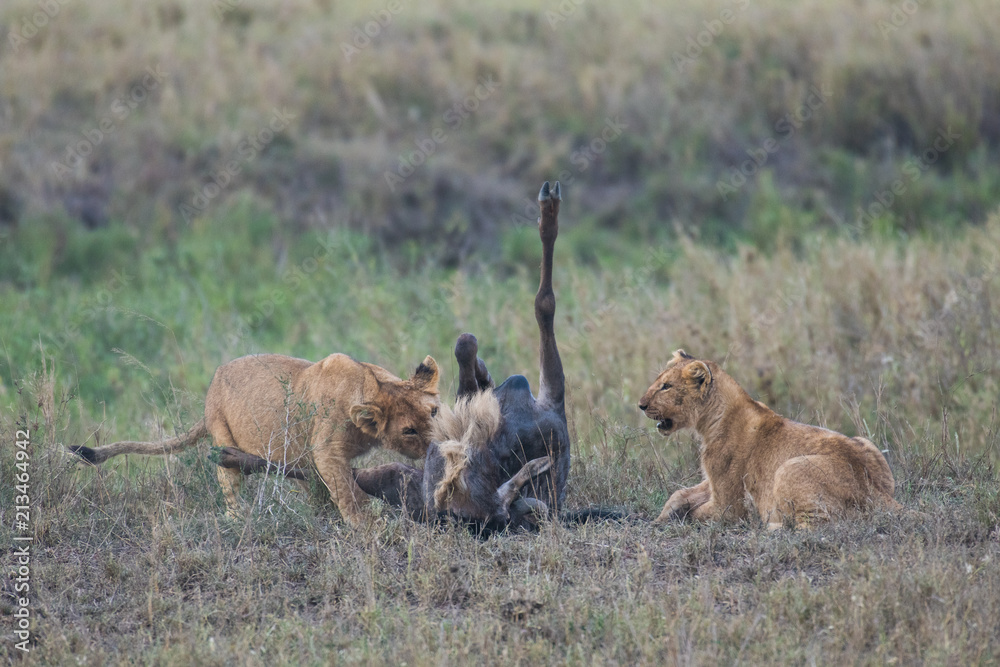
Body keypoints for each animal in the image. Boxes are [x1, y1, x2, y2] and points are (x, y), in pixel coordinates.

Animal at [70, 352, 441, 527]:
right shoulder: (327, 451)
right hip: (221, 433)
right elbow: (349, 494)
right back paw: (239, 519)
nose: (436, 448)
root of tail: (210, 389)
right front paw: (368, 525)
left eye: (435, 412)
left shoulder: (318, 457)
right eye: (408, 430)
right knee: (230, 484)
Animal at [638, 350, 901, 529]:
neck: (712, 420)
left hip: (788, 468)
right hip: (866, 442)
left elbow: (695, 514)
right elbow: (680, 494)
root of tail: (879, 493)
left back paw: (770, 526)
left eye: (666, 386)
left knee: (815, 525)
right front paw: (662, 516)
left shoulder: (729, 507)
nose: (641, 405)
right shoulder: (713, 482)